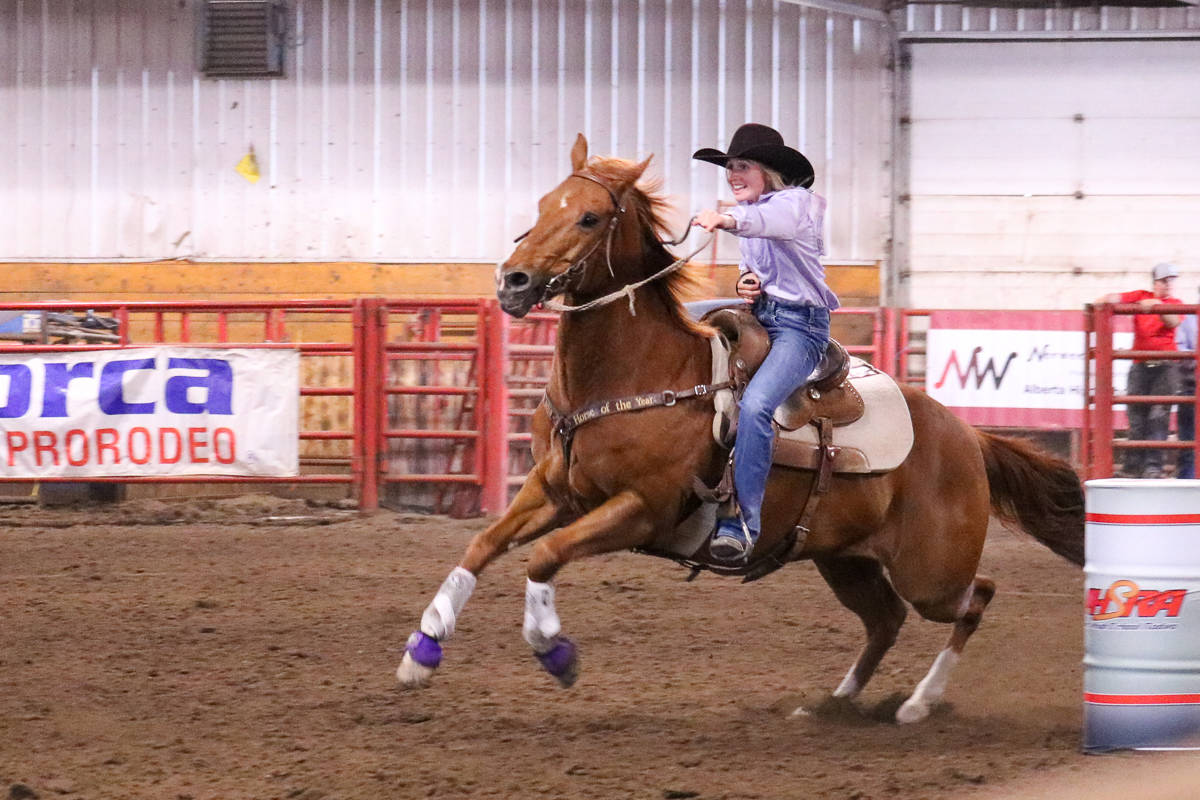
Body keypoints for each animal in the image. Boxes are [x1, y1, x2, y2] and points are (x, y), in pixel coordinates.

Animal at [396, 134, 1089, 724]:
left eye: (590, 218)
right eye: (543, 204)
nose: (512, 282)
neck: (631, 376)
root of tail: (967, 436)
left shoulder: (643, 509)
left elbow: (544, 556)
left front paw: (553, 649)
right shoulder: (555, 490)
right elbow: (481, 545)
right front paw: (421, 650)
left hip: (932, 571)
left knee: (976, 597)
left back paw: (918, 704)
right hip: (845, 559)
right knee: (885, 620)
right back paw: (835, 703)